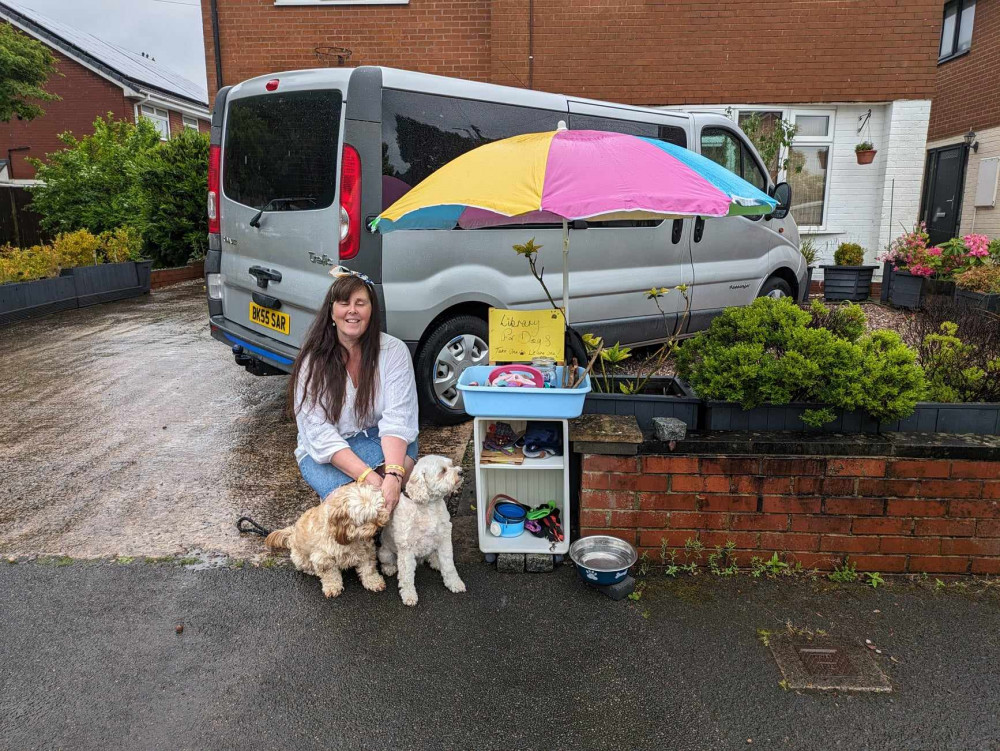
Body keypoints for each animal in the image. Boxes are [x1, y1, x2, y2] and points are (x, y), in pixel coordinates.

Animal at [378, 452, 464, 604]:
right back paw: (389, 568)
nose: (461, 472)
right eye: (442, 471)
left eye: (451, 464)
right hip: (385, 553)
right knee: (388, 561)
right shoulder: (406, 549)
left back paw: (436, 561)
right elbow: (406, 576)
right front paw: (409, 595)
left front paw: (454, 583)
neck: (429, 506)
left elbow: (449, 566)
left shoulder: (444, 539)